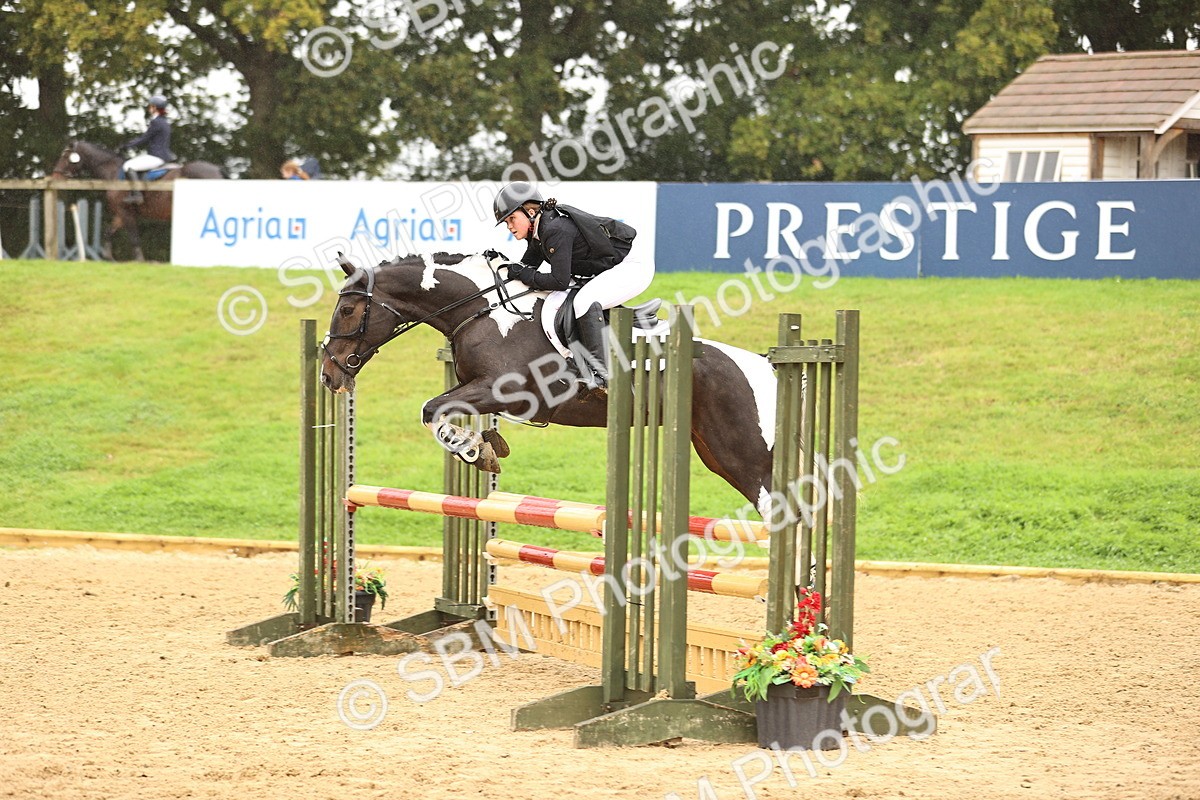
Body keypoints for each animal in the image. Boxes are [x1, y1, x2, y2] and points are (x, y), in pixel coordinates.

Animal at [49, 140, 225, 261]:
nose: (54, 177)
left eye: (65, 156)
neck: (113, 172)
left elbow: (134, 236)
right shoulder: (120, 213)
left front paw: (139, 260)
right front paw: (109, 257)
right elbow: (108, 232)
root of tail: (217, 170)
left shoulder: (126, 212)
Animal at [320, 252, 779, 516]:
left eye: (347, 310)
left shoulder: (504, 390)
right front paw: (486, 447)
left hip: (745, 457)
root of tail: (763, 366)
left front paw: (473, 451)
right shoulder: (479, 390)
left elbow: (432, 410)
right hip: (713, 451)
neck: (481, 309)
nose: (329, 375)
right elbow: (444, 411)